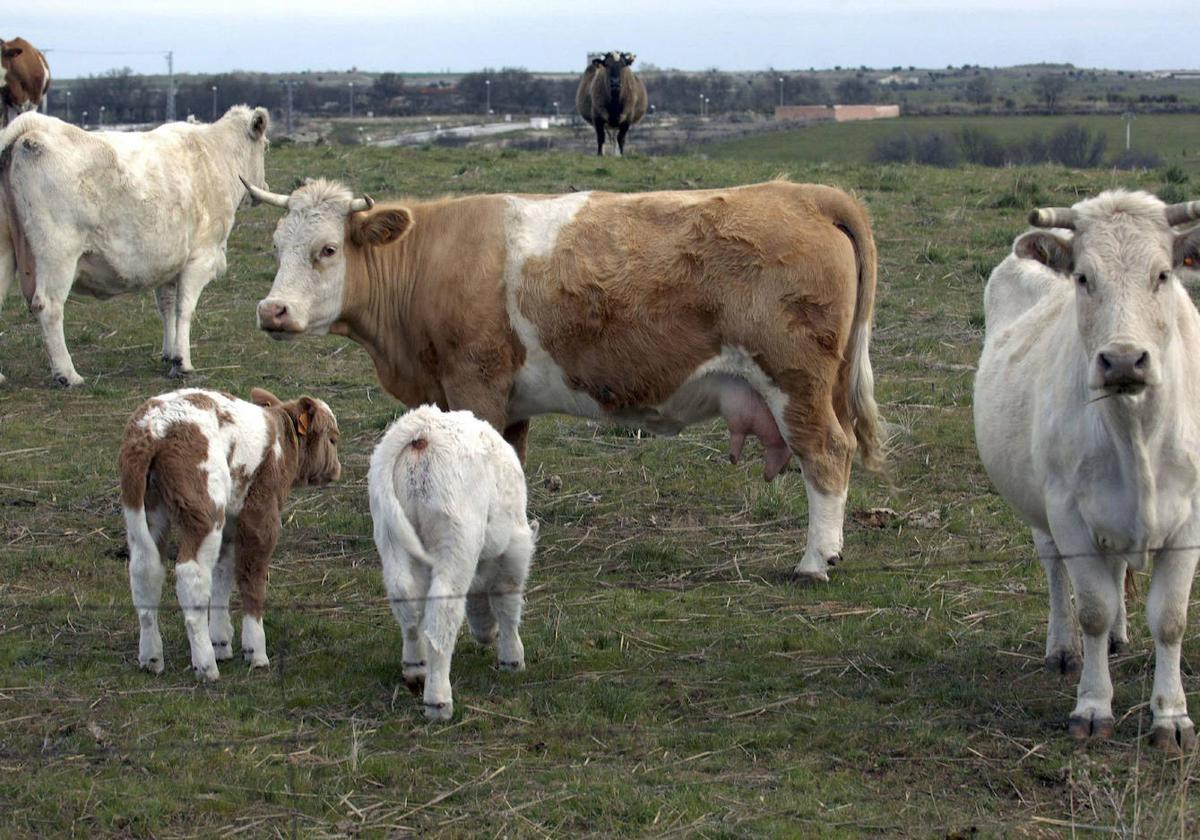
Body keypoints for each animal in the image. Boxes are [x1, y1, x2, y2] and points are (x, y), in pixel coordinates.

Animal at [1, 102, 270, 386]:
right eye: (266, 147)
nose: (263, 186)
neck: (214, 158)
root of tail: (34, 127)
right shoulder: (201, 258)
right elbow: (185, 307)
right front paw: (182, 362)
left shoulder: (170, 262)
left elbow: (167, 306)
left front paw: (168, 353)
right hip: (58, 253)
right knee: (49, 306)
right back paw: (68, 374)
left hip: (6, 250)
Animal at [246, 175, 883, 583]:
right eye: (276, 246)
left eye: (327, 249)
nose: (272, 311)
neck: (428, 261)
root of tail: (803, 194)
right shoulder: (507, 404)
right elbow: (508, 467)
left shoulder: (474, 384)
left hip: (794, 380)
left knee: (827, 452)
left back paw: (816, 561)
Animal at [364, 403, 535, 720]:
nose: (487, 636)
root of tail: (423, 429)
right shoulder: (515, 548)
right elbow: (507, 601)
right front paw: (512, 658)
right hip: (456, 539)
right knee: (442, 611)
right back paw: (438, 701)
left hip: (389, 532)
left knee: (405, 598)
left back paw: (415, 669)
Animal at [974, 192, 1200, 753]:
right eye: (1082, 277)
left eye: (1163, 274)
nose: (1122, 360)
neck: (1134, 427)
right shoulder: (1069, 513)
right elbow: (1092, 608)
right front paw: (1093, 707)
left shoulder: (1191, 520)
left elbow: (1170, 619)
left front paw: (1172, 717)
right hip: (1040, 505)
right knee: (1056, 571)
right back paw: (1062, 648)